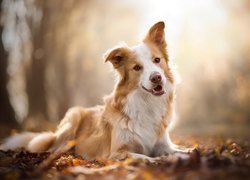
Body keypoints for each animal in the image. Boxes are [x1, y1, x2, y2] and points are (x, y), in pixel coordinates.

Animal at [0, 21, 188, 160]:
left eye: (157, 60)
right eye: (137, 67)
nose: (157, 77)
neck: (146, 103)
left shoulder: (163, 144)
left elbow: (179, 152)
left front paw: (185, 156)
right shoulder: (117, 153)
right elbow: (147, 158)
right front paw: (162, 160)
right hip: (72, 119)